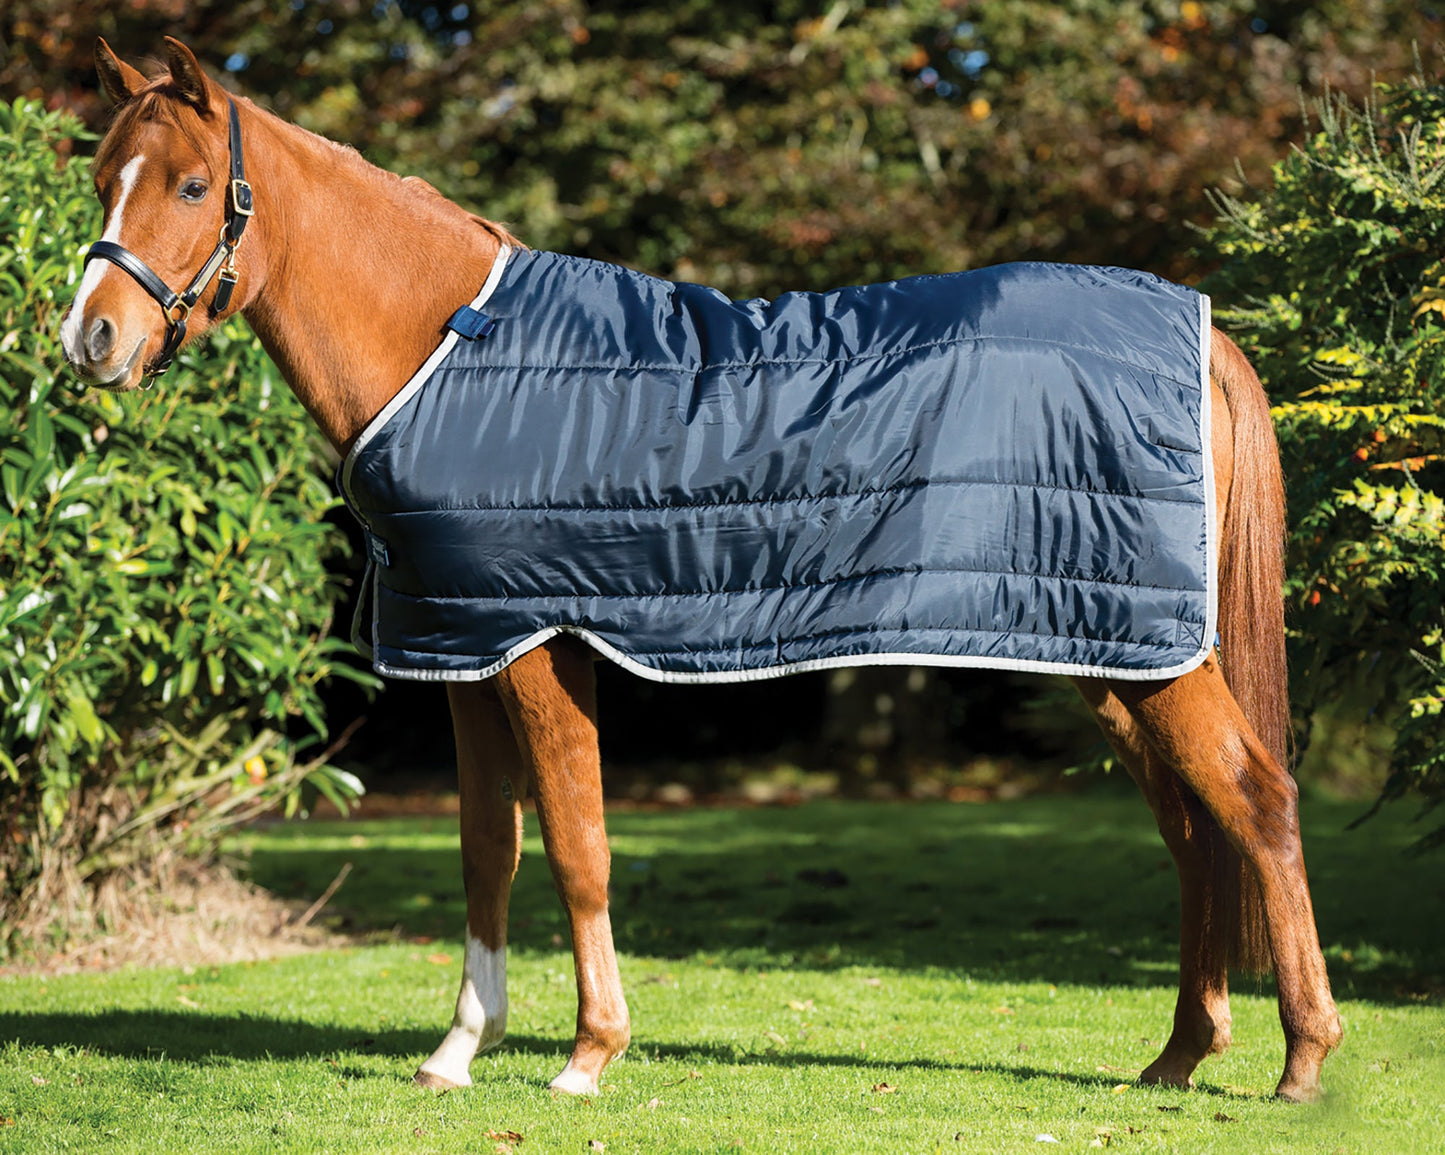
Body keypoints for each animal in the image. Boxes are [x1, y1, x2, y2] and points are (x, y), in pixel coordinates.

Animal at [61, 38, 1341, 1102]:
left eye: (189, 187)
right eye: (101, 179)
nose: (90, 340)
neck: (448, 348)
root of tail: (1197, 333)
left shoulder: (538, 646)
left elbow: (576, 846)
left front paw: (588, 1055)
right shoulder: (463, 648)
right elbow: (487, 851)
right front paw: (458, 1050)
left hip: (1148, 657)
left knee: (1258, 804)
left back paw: (1298, 1063)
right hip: (1103, 650)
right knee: (1193, 827)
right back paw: (1178, 1056)